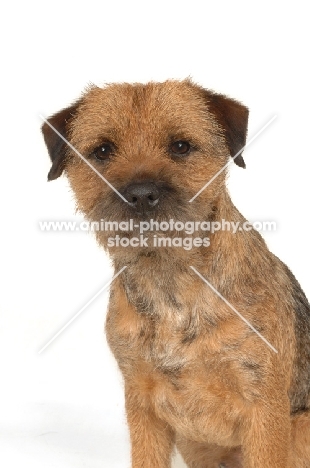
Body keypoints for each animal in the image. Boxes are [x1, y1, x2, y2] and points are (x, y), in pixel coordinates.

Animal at [43, 78, 310, 466]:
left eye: (181, 146)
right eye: (103, 150)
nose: (141, 194)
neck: (170, 283)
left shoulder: (263, 407)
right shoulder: (142, 404)